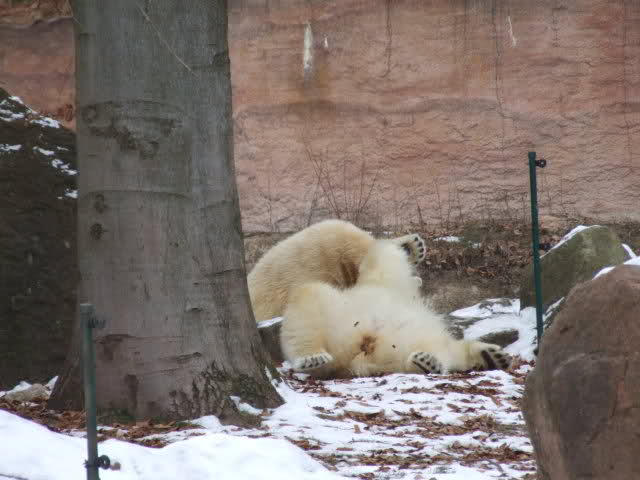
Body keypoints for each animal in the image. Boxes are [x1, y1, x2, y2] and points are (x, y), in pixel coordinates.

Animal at [280, 240, 512, 378]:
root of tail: (357, 355)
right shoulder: (384, 279)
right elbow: (382, 257)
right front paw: (410, 245)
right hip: (337, 319)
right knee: (307, 299)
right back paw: (312, 358)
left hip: (396, 345)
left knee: (440, 351)